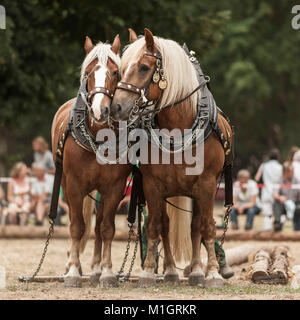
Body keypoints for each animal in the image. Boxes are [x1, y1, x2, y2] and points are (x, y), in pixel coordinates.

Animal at [51, 35, 131, 288]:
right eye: (88, 72)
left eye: (115, 72)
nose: (99, 110)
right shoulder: (74, 185)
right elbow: (77, 226)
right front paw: (73, 272)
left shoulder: (114, 187)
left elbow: (106, 228)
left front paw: (106, 272)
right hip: (66, 183)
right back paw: (71, 266)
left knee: (97, 226)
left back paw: (95, 269)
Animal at [111, 28, 233, 288]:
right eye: (121, 69)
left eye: (144, 67)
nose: (116, 107)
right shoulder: (152, 185)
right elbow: (156, 225)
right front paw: (148, 272)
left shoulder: (207, 184)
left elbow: (207, 226)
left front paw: (213, 273)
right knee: (166, 225)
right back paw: (169, 270)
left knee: (196, 225)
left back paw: (196, 271)